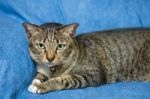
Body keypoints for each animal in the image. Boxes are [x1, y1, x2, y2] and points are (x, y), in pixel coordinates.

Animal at [22, 22, 150, 94]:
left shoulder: (92, 74)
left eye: (60, 46)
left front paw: (41, 85)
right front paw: (37, 80)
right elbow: (40, 74)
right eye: (40, 45)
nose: (50, 58)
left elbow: (63, 79)